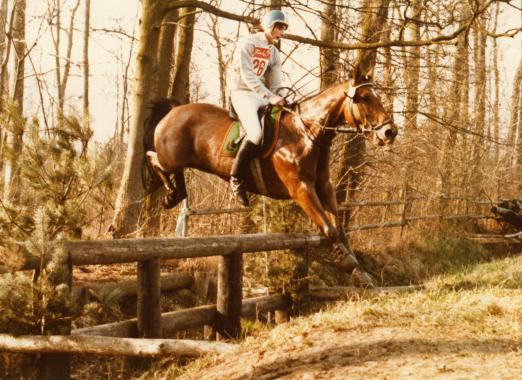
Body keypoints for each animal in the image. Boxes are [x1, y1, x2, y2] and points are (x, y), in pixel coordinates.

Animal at [141, 63, 394, 274]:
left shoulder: (324, 186)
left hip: (181, 161)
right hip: (170, 157)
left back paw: (174, 195)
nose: (390, 131)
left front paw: (358, 269)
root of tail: (173, 110)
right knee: (152, 158)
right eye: (363, 98)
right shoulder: (301, 189)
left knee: (174, 175)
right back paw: (167, 191)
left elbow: (338, 226)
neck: (307, 133)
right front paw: (349, 262)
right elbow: (328, 228)